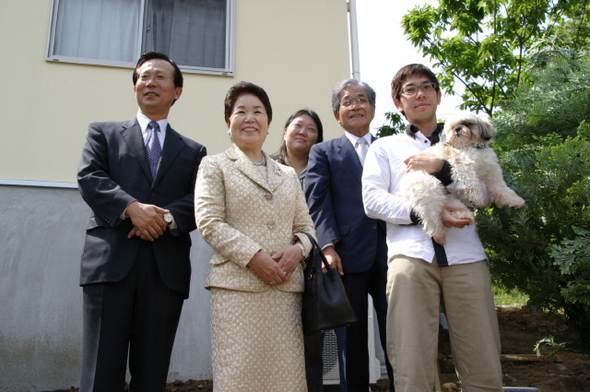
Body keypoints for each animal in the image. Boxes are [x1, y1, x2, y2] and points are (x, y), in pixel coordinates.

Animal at [400, 111, 524, 245]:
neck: (471, 146)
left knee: (450, 205)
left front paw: (515, 201)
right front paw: (476, 199)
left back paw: (462, 215)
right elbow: (470, 184)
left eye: (467, 123)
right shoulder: (463, 165)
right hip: (428, 188)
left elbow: (501, 188)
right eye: (452, 127)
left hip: (447, 197)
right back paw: (439, 234)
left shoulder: (492, 171)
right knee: (431, 215)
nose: (458, 129)